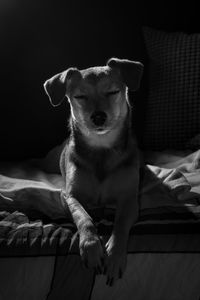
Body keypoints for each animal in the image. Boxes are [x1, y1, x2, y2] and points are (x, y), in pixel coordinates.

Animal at [43, 58, 144, 286]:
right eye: (80, 96)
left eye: (113, 92)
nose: (98, 116)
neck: (101, 149)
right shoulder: (70, 195)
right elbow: (83, 217)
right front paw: (91, 246)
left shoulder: (129, 199)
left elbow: (121, 223)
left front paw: (114, 255)